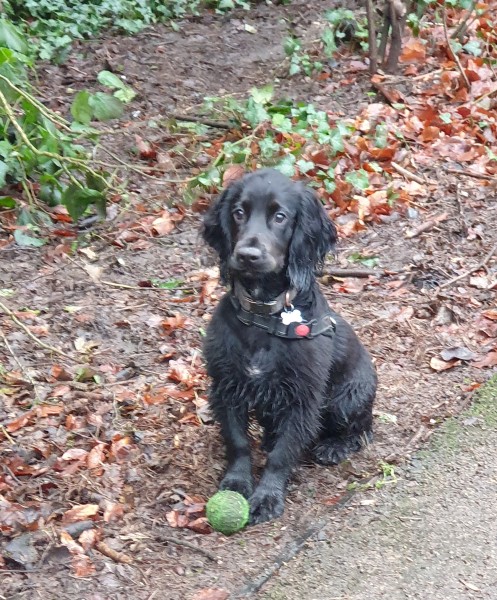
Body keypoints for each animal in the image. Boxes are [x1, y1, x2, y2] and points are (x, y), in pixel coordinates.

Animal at [202, 166, 376, 524]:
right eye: (238, 213)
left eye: (280, 216)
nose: (248, 255)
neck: (265, 315)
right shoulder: (226, 386)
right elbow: (238, 441)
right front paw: (237, 482)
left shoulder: (302, 398)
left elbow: (283, 454)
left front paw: (267, 496)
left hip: (347, 398)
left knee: (364, 429)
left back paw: (335, 445)